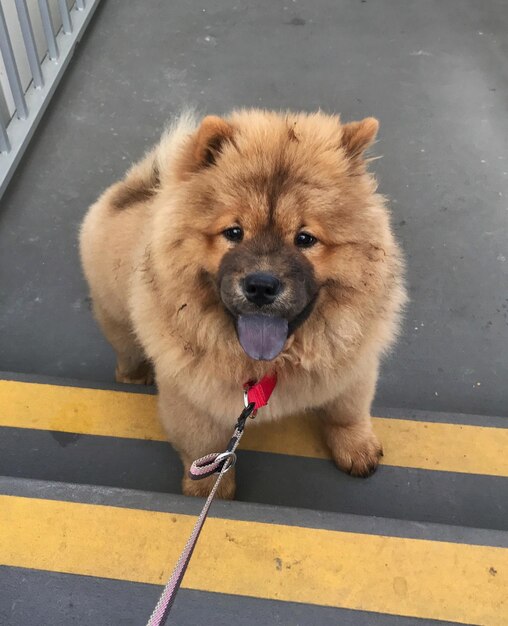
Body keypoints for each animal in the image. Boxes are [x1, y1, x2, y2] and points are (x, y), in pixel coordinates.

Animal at [79, 108, 404, 498]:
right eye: (233, 233)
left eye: (305, 239)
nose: (261, 285)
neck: (270, 366)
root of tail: (139, 188)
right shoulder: (191, 399)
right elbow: (204, 451)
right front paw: (208, 492)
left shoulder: (353, 367)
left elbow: (348, 412)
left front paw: (357, 450)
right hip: (117, 320)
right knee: (125, 353)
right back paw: (133, 377)